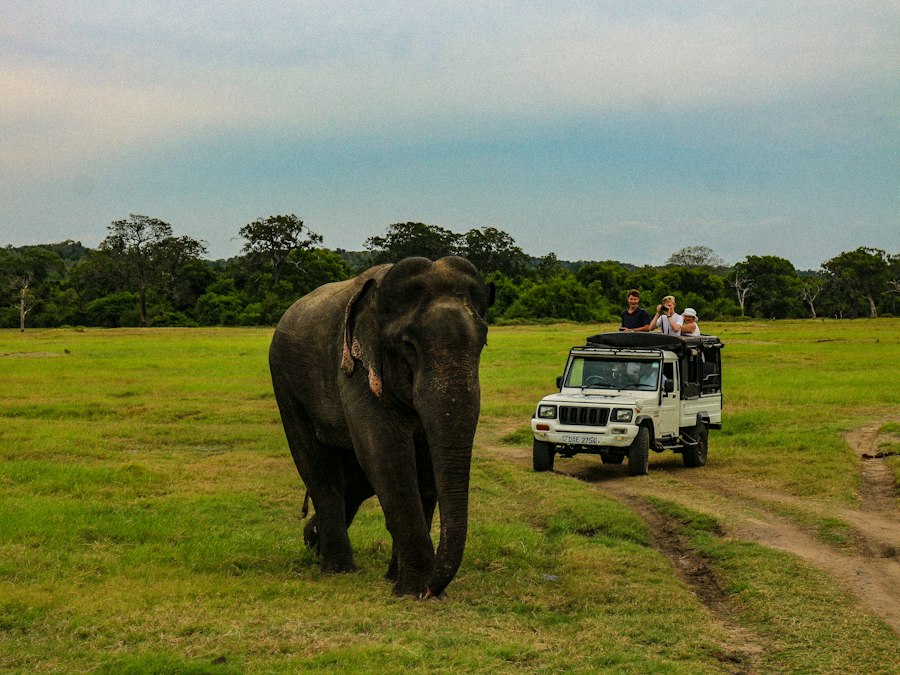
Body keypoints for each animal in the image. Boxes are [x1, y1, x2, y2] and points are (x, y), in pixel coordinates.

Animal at [269, 256, 494, 598]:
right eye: (408, 345)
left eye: (483, 342)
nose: (432, 589)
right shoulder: (356, 369)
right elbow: (386, 454)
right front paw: (412, 591)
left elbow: (424, 465)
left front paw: (402, 582)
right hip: (285, 384)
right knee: (320, 471)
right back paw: (338, 568)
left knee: (353, 480)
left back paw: (313, 541)